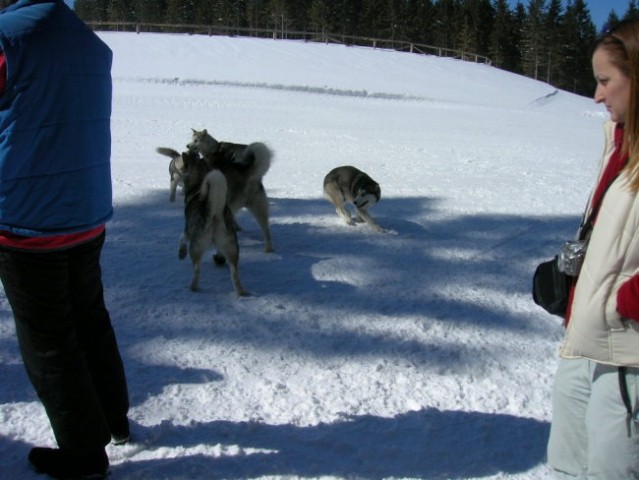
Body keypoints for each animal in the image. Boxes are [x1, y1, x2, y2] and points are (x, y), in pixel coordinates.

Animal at [181, 149, 251, 296]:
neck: (198, 179)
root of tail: (214, 213)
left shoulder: (187, 228)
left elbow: (181, 238)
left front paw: (181, 253)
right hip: (231, 247)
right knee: (234, 273)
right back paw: (241, 291)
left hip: (196, 247)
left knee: (197, 269)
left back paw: (192, 287)